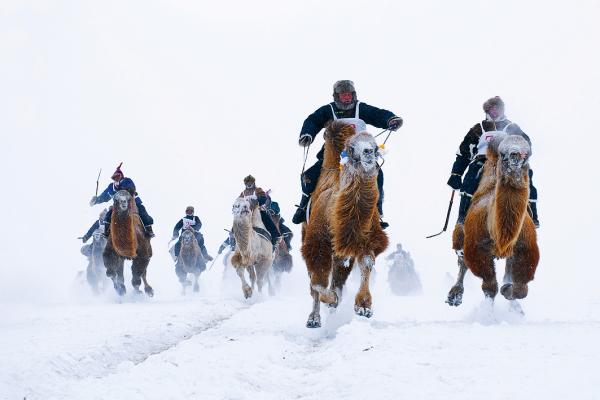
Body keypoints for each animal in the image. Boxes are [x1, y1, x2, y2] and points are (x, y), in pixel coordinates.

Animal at [300, 122, 390, 328]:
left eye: (375, 146)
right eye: (351, 148)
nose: (368, 152)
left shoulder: (363, 241)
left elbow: (366, 263)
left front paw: (363, 307)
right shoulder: (317, 245)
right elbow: (317, 283)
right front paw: (329, 301)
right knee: (315, 282)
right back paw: (314, 318)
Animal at [446, 134, 540, 306]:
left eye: (527, 154)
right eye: (504, 154)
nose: (516, 155)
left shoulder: (527, 248)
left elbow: (521, 289)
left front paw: (507, 290)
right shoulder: (476, 249)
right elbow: (489, 287)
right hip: (463, 237)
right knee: (462, 259)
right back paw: (454, 295)